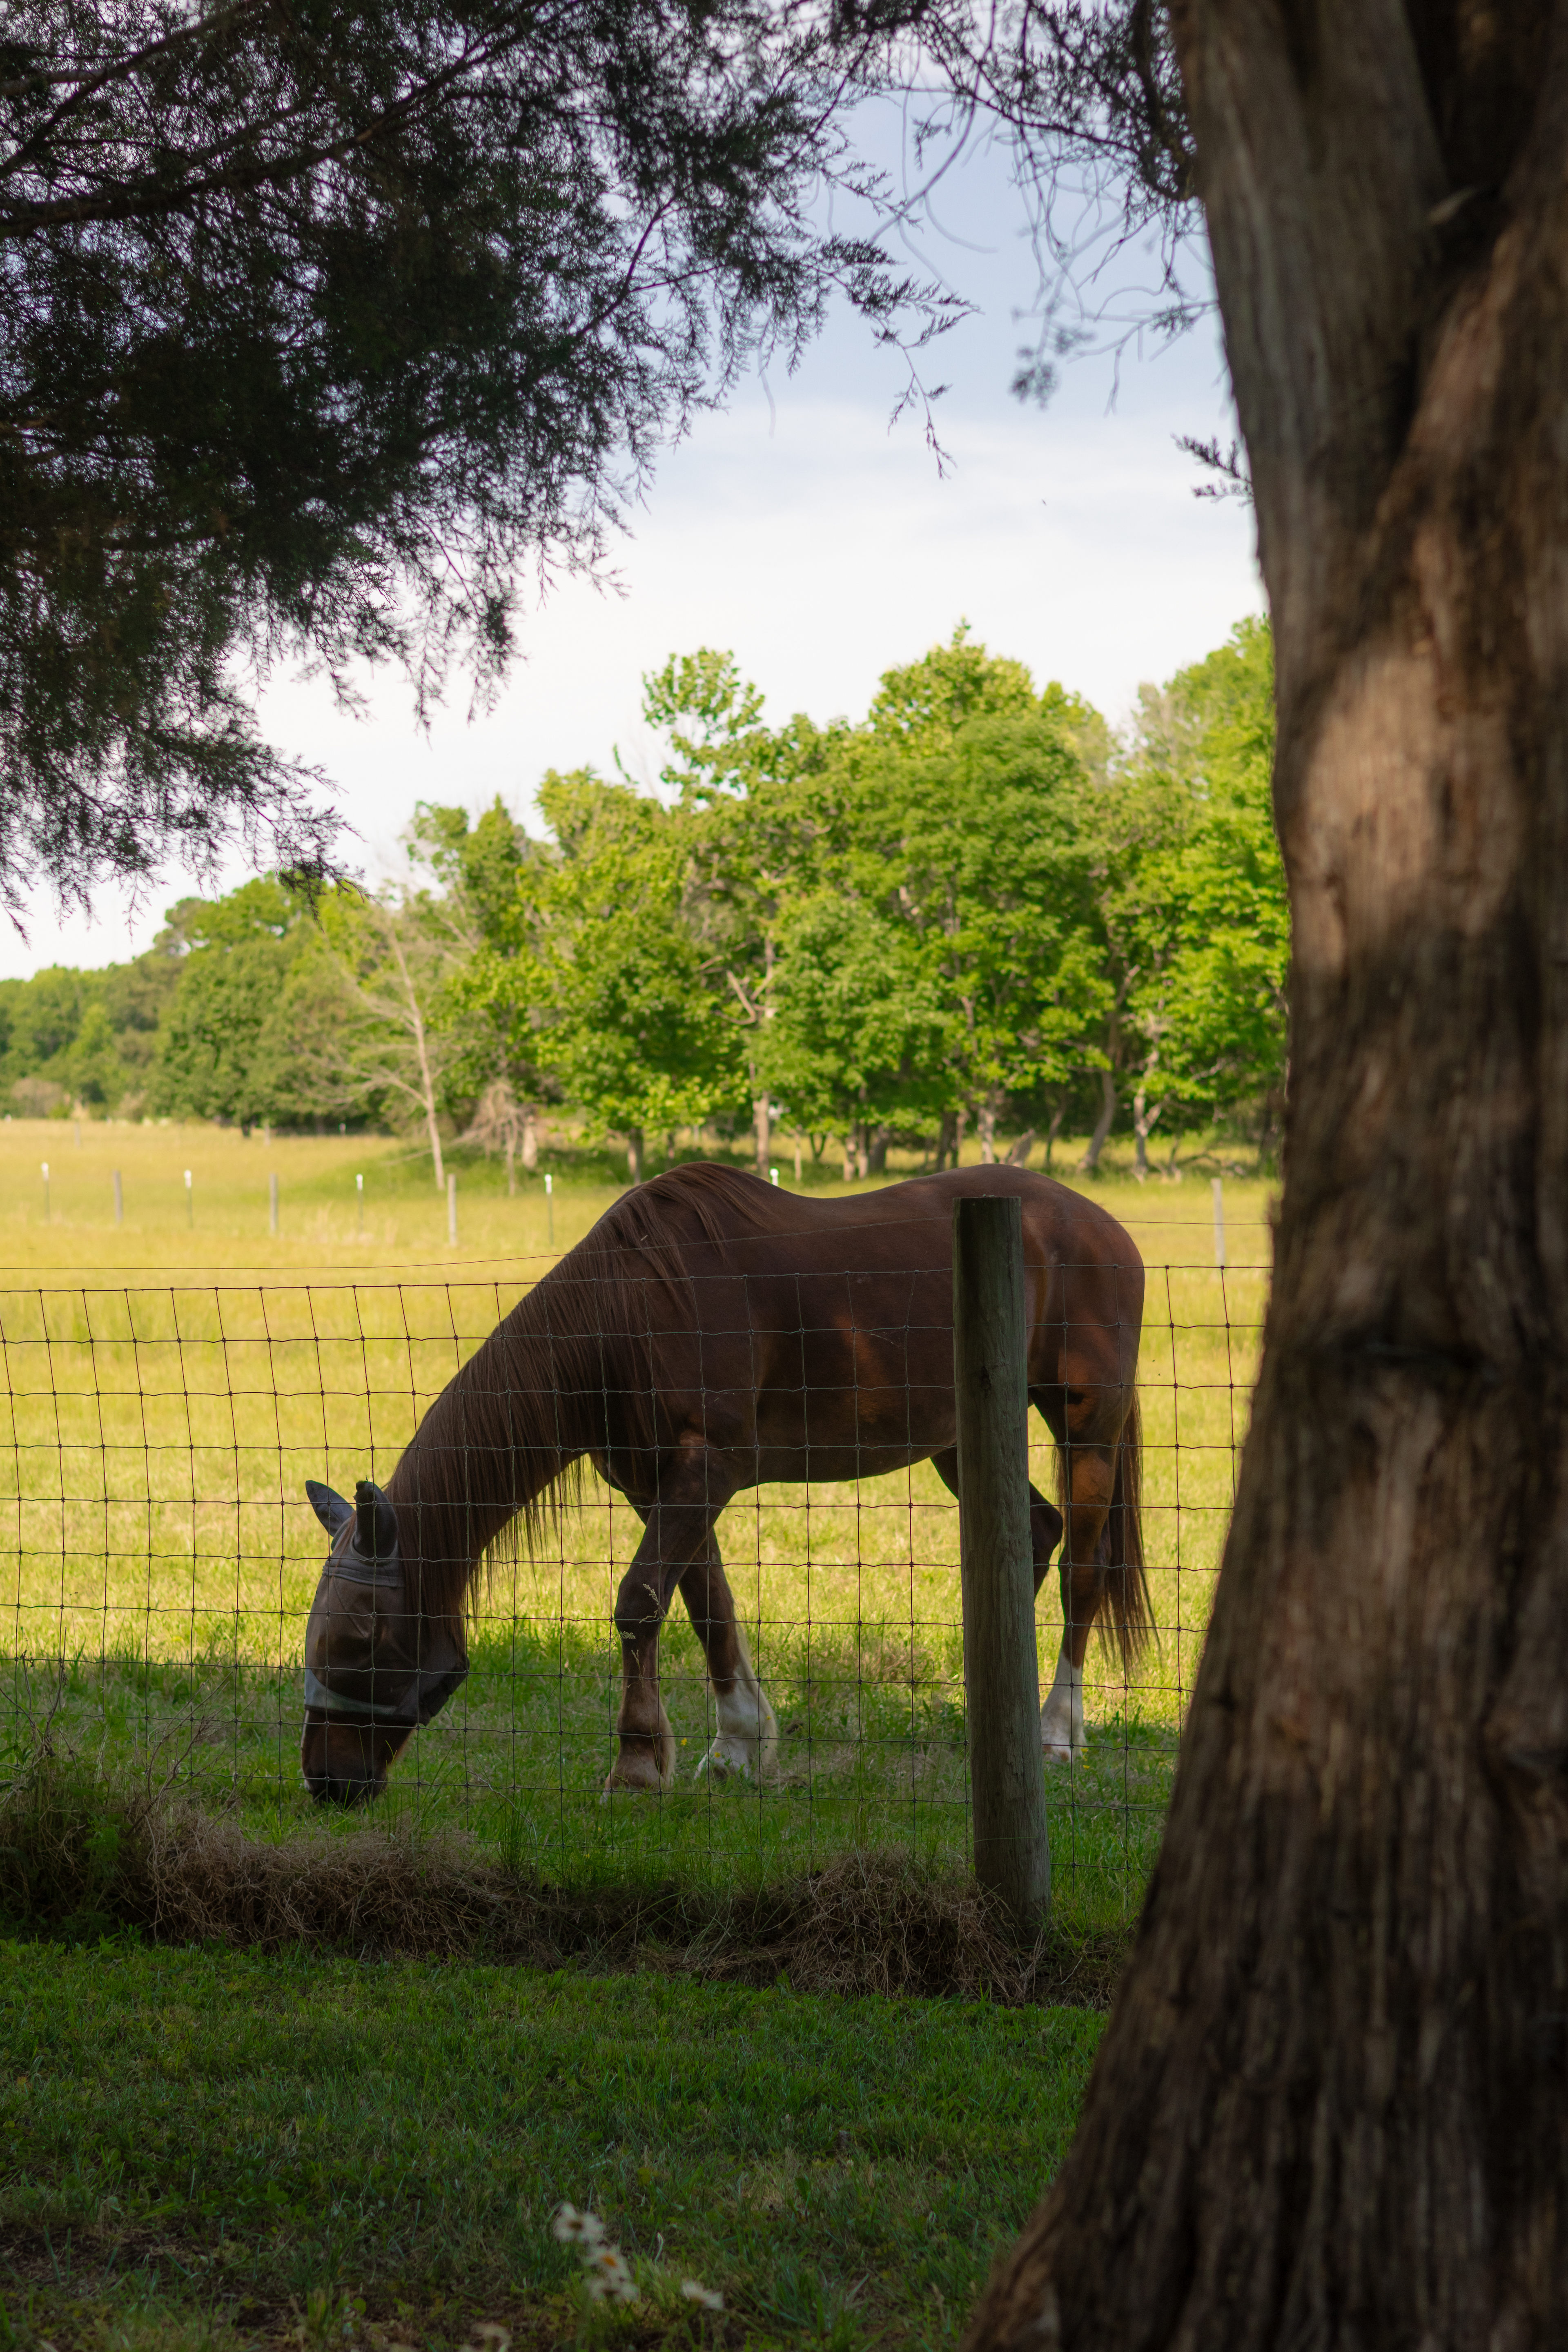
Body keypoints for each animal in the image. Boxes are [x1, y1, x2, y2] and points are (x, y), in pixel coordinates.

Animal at [299, 1161, 1149, 1804]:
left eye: (361, 1638)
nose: (324, 1783)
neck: (631, 1310)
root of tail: (1098, 1223)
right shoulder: (658, 1484)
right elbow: (707, 1605)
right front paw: (738, 1745)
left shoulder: (705, 1470)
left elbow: (640, 1602)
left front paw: (637, 1765)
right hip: (958, 1440)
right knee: (1035, 1536)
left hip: (1087, 1425)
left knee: (1083, 1568)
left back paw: (1056, 1733)